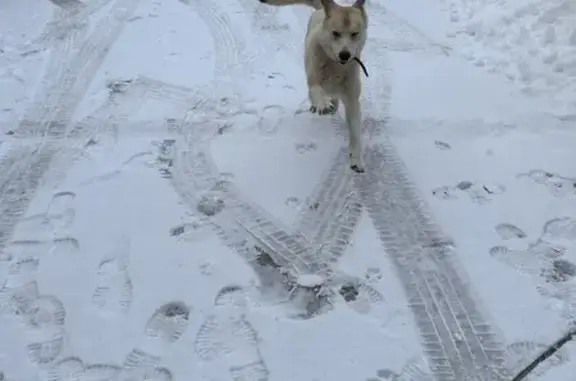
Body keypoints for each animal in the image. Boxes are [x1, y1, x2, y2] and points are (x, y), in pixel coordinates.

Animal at [258, 0, 366, 171]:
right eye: (335, 33)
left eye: (355, 34)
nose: (345, 55)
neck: (335, 66)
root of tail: (322, 9)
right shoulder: (313, 82)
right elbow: (317, 91)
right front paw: (322, 104)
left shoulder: (352, 99)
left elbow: (355, 132)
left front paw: (357, 159)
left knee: (335, 97)